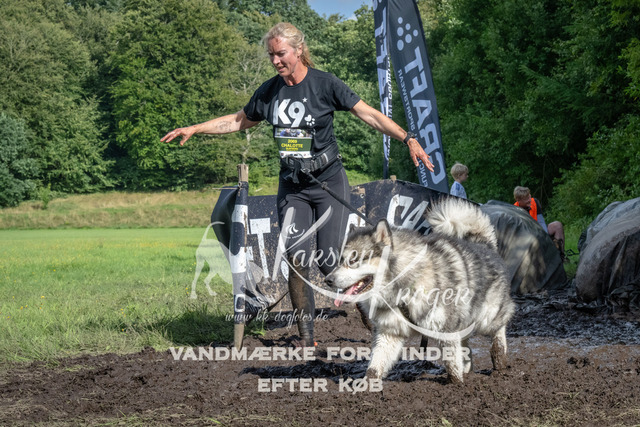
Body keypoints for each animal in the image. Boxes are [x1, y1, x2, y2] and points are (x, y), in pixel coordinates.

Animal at [325, 197, 514, 383]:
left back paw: (499, 358)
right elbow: (375, 365)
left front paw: (457, 385)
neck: (402, 287)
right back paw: (468, 368)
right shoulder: (389, 332)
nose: (328, 280)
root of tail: (484, 244)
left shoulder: (446, 328)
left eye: (353, 260)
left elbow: (451, 363)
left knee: (500, 326)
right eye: (339, 260)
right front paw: (366, 384)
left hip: (487, 316)